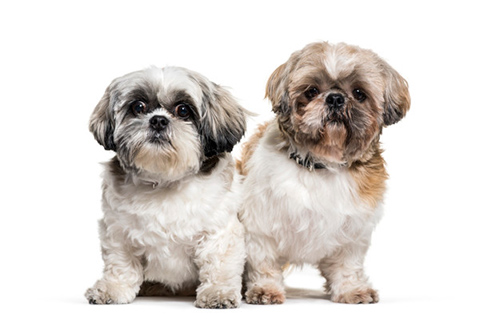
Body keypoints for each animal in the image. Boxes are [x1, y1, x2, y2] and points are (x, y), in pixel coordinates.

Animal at [87, 65, 249, 308]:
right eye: (138, 107)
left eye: (183, 110)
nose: (158, 120)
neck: (165, 180)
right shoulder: (118, 232)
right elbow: (120, 264)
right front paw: (113, 289)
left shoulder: (219, 232)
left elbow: (218, 264)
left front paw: (217, 293)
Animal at [238, 41, 410, 304]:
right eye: (311, 91)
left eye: (359, 93)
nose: (336, 98)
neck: (320, 165)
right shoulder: (260, 226)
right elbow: (264, 263)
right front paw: (264, 289)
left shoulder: (352, 232)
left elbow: (347, 265)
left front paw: (352, 289)